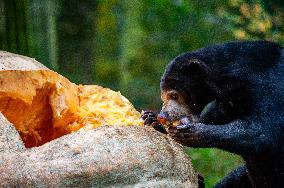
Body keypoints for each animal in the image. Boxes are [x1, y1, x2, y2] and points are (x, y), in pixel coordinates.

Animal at [143, 41, 284, 188]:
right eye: (163, 97)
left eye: (174, 95)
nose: (163, 116)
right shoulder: (229, 103)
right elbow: (214, 116)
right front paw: (152, 120)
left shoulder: (269, 85)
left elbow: (262, 132)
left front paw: (188, 133)